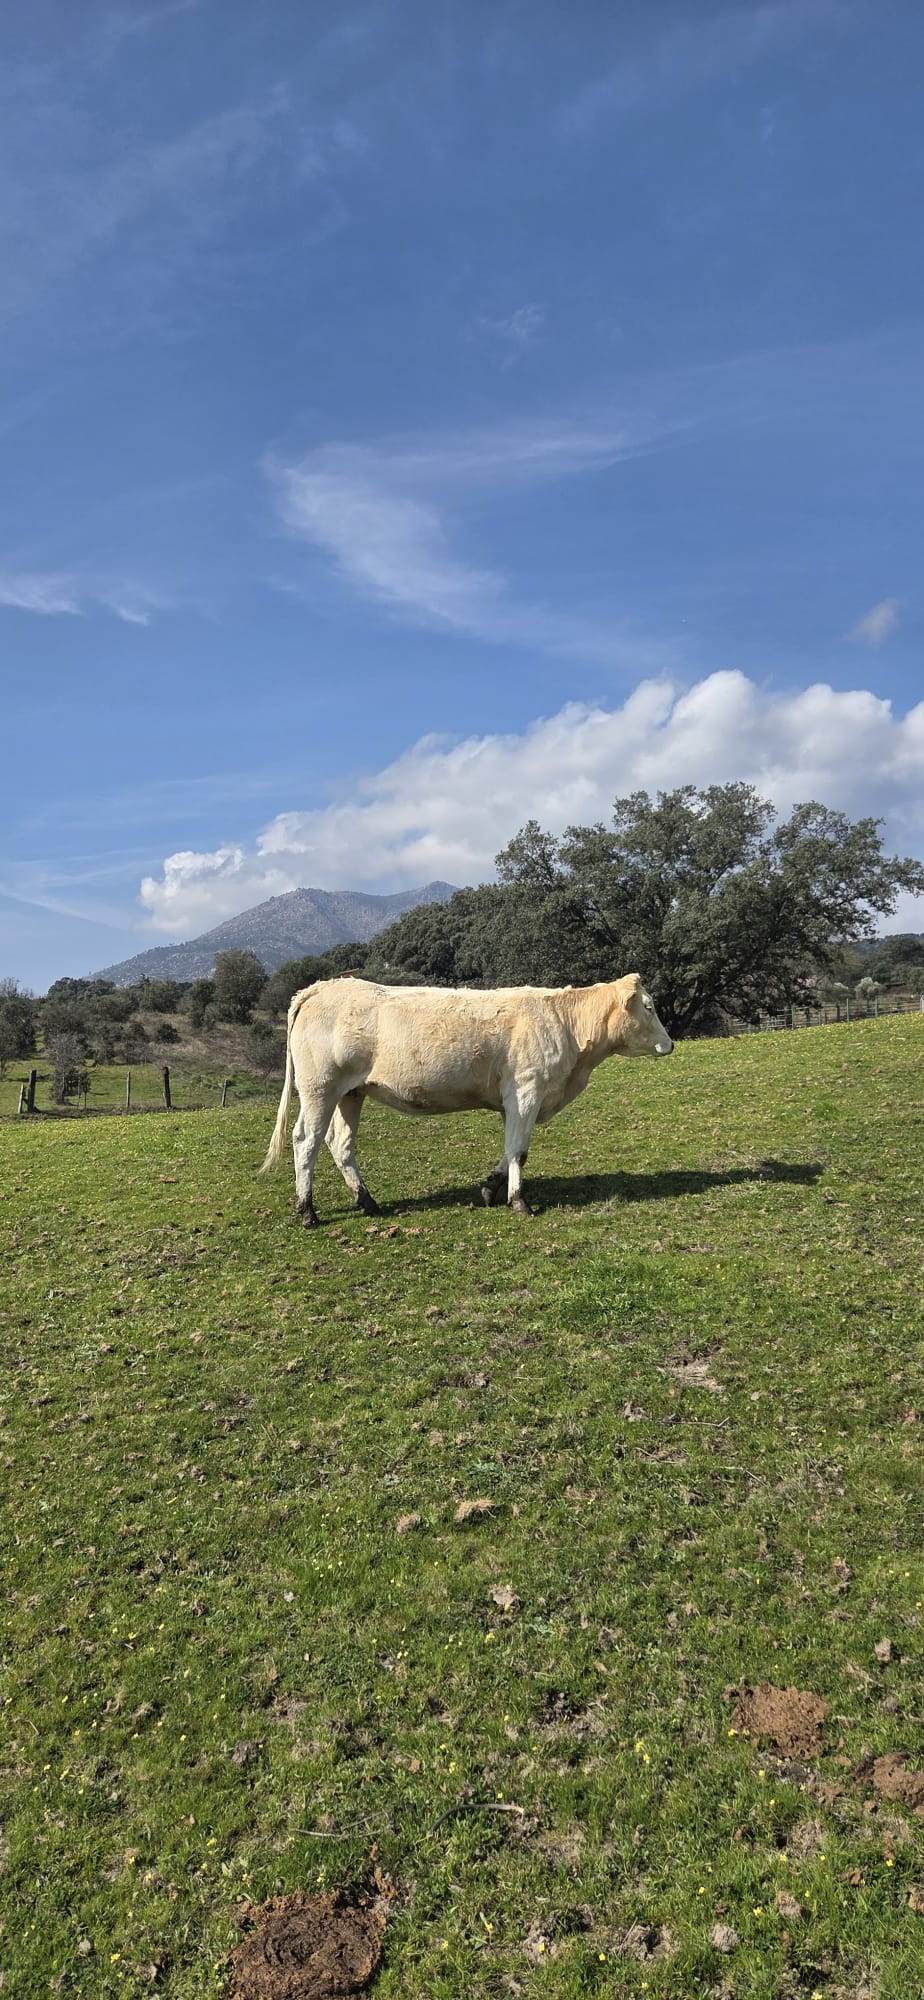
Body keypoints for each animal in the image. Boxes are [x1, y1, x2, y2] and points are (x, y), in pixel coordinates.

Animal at [261, 973, 673, 1226]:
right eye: (650, 1006)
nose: (669, 1044)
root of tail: (320, 986)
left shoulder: (513, 1101)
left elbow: (510, 1150)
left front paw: (491, 1187)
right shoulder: (526, 1090)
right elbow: (519, 1151)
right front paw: (519, 1202)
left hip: (350, 1093)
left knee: (340, 1143)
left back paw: (368, 1202)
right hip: (319, 1089)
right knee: (306, 1141)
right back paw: (307, 1211)